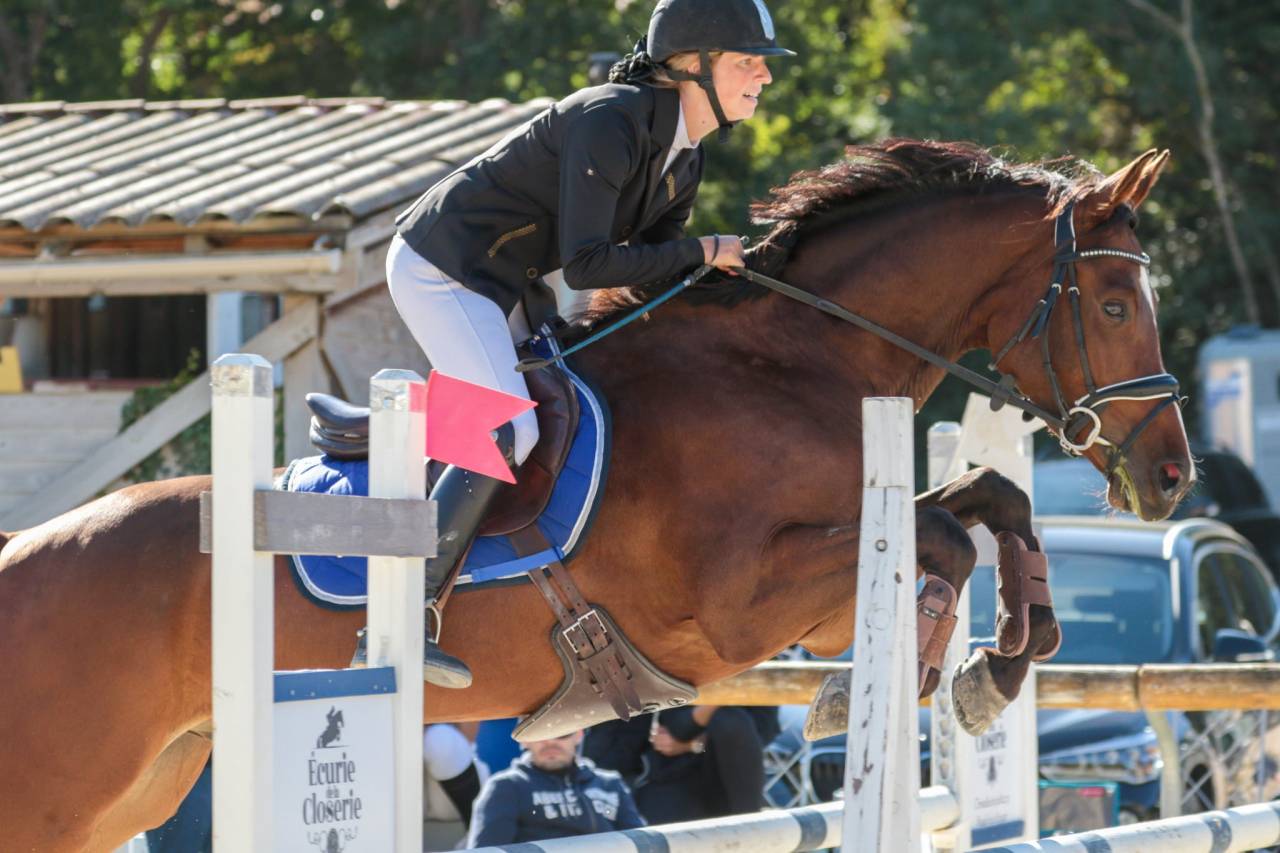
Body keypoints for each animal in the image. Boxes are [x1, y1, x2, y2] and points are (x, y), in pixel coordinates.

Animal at [0, 140, 1192, 851]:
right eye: (1114, 302)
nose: (1172, 474)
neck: (787, 362)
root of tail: (25, 556)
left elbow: (992, 497)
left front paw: (1001, 664)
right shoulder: (736, 605)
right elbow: (943, 531)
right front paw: (881, 691)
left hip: (139, 785)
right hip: (65, 787)